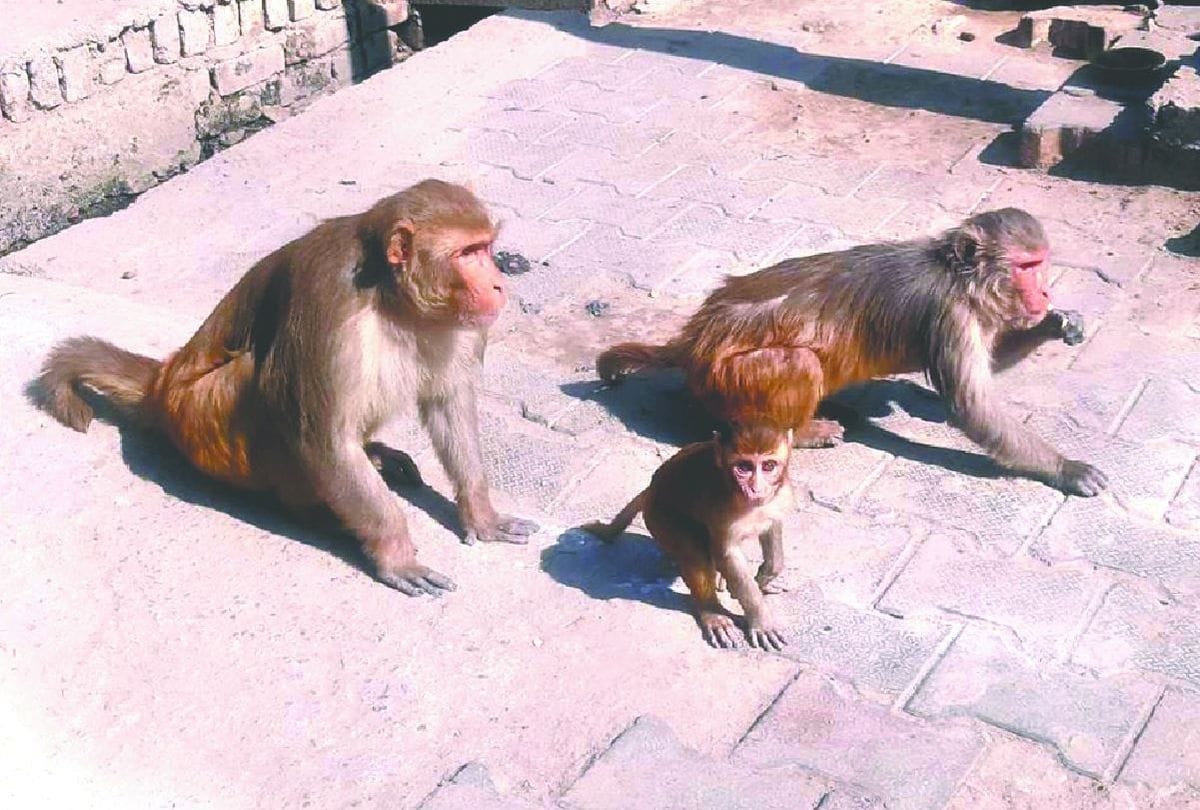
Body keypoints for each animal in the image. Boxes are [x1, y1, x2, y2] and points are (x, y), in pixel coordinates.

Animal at [34, 179, 537, 596]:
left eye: (487, 248)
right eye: (466, 254)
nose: (498, 284)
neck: (393, 297)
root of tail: (165, 380)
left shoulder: (461, 323)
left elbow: (449, 405)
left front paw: (481, 513)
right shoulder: (328, 303)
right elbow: (323, 439)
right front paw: (395, 552)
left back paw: (372, 456)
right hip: (198, 419)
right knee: (265, 382)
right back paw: (317, 514)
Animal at [583, 424, 794, 651]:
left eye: (769, 466)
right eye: (744, 467)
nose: (756, 488)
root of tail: (650, 490)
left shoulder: (780, 496)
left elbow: (773, 525)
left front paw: (766, 576)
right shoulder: (721, 507)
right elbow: (727, 554)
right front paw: (760, 619)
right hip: (659, 518)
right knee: (694, 550)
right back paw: (711, 610)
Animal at [597, 208, 1108, 497]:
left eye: (1042, 264)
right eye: (1026, 266)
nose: (1043, 292)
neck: (961, 277)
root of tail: (695, 336)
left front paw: (1057, 324)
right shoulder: (951, 314)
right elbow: (972, 406)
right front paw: (1065, 468)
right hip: (726, 377)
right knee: (800, 363)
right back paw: (803, 431)